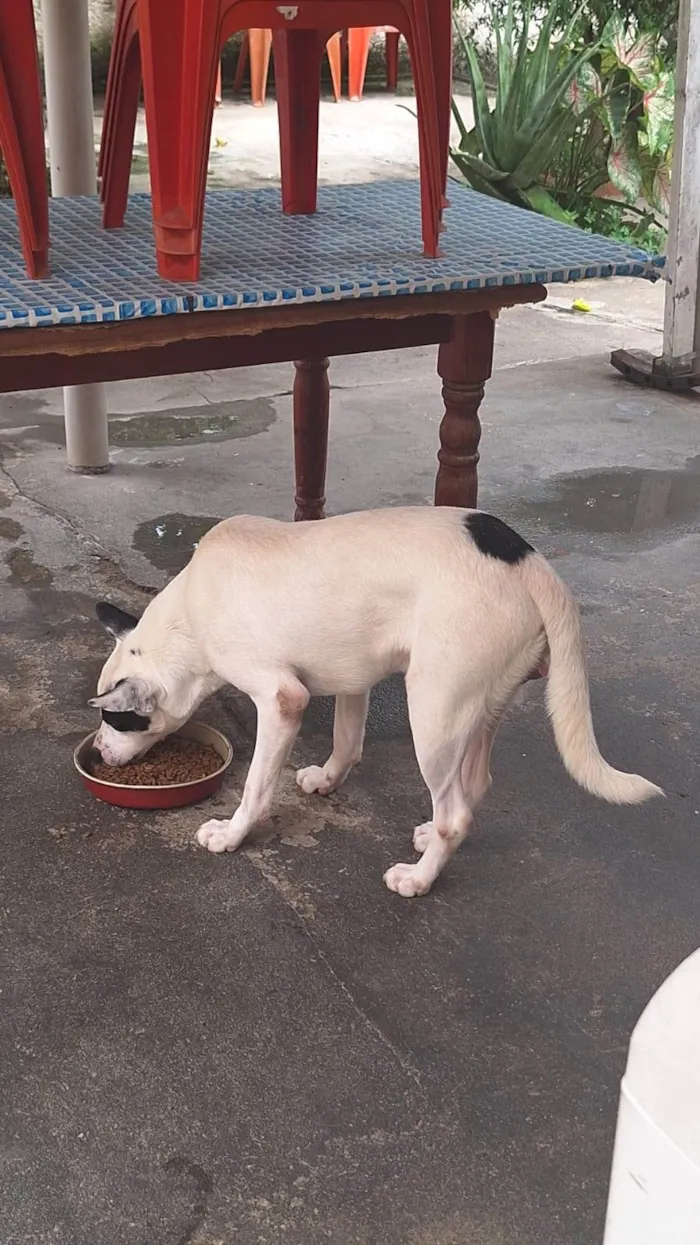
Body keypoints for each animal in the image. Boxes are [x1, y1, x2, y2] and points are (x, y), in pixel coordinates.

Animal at [88, 505, 657, 896]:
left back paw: (419, 879)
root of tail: (529, 562)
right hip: (481, 706)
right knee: (474, 785)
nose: (97, 753)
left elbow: (255, 786)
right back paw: (431, 838)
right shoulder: (351, 677)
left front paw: (232, 834)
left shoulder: (281, 699)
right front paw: (327, 779)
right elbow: (346, 741)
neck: (186, 617)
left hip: (433, 712)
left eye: (118, 719)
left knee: (456, 813)